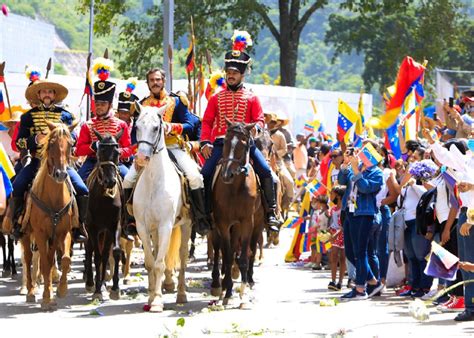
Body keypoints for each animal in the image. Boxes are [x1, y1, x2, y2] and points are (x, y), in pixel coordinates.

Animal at [21, 121, 76, 308]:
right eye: (51, 144)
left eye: (71, 144)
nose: (61, 174)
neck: (53, 198)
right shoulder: (40, 233)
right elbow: (44, 264)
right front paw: (46, 298)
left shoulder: (62, 232)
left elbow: (64, 259)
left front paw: (60, 290)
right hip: (26, 234)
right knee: (28, 258)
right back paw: (30, 291)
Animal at [132, 103, 192, 312]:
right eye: (137, 126)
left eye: (156, 128)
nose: (142, 158)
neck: (153, 181)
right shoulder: (143, 226)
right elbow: (151, 262)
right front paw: (151, 297)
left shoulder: (166, 225)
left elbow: (159, 263)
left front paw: (157, 301)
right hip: (155, 230)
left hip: (186, 225)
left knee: (182, 257)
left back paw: (181, 294)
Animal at [210, 121, 264, 308]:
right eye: (225, 142)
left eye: (243, 144)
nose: (227, 174)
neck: (234, 188)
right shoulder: (223, 223)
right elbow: (226, 256)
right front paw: (227, 292)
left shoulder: (247, 222)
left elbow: (243, 256)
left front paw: (243, 293)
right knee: (219, 248)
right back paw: (217, 284)